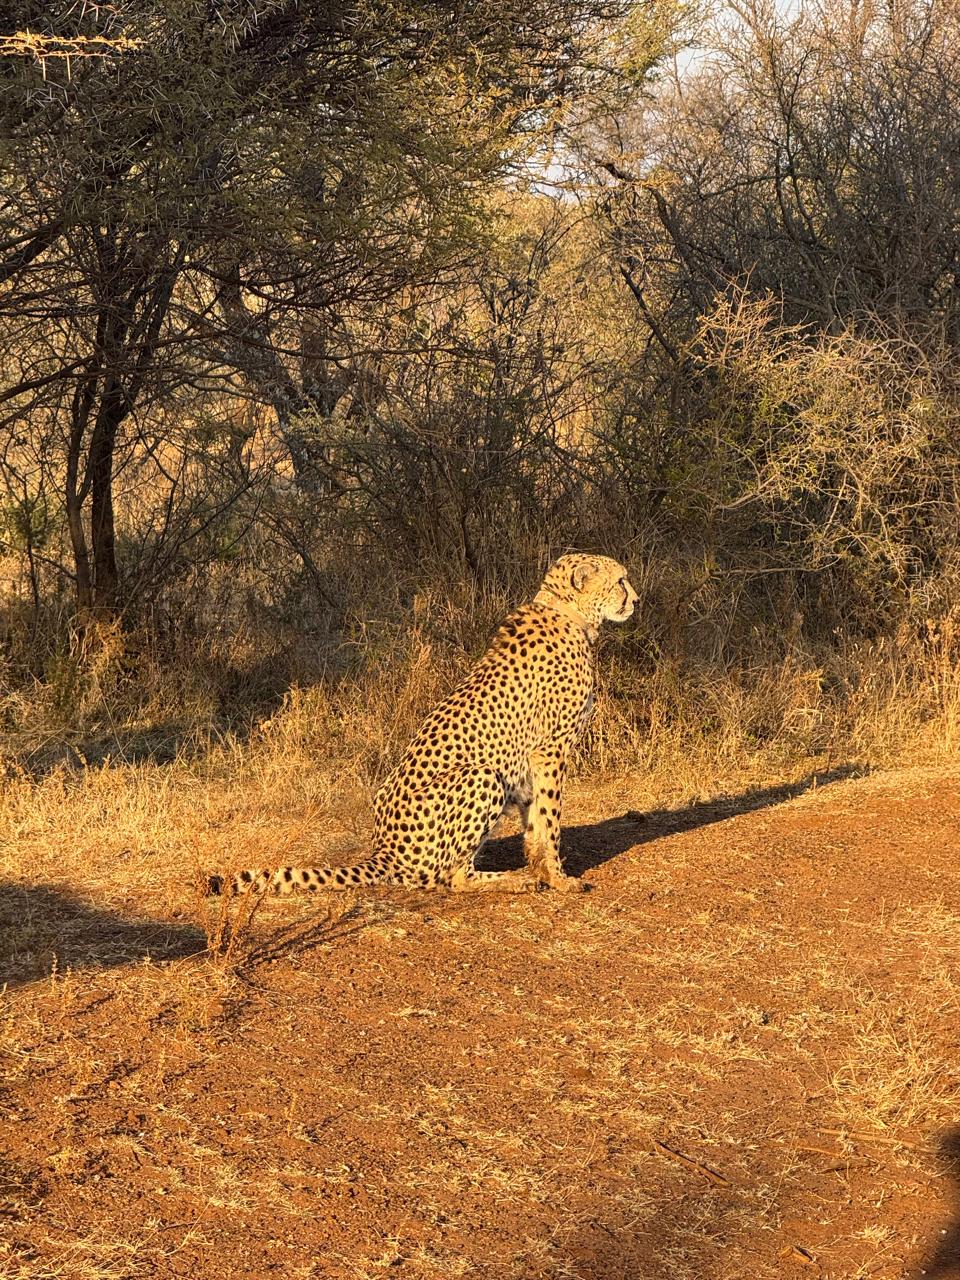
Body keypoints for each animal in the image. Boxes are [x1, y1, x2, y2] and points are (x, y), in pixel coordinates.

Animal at [209, 553, 638, 897]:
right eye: (620, 580)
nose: (635, 600)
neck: (571, 614)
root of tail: (383, 849)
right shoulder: (549, 750)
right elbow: (550, 822)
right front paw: (558, 878)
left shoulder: (534, 762)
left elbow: (535, 825)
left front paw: (545, 871)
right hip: (482, 774)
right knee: (452, 877)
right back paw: (512, 880)